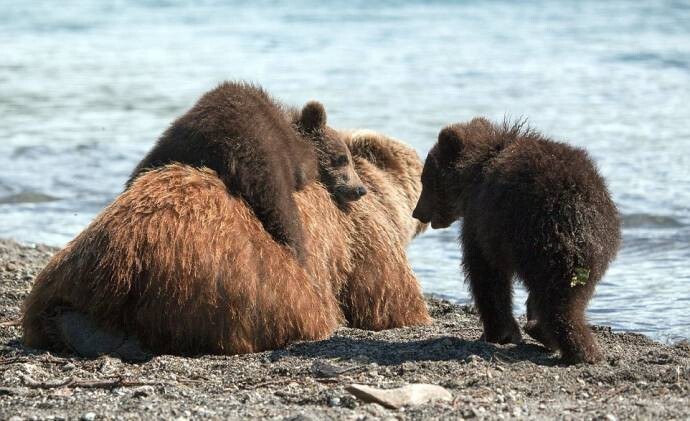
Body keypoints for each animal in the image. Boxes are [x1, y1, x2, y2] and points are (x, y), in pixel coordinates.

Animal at [127, 82, 366, 262]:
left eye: (348, 158)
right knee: (282, 207)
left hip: (171, 145)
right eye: (342, 159)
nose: (360, 189)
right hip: (264, 155)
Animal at [412, 116, 620, 362]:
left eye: (425, 179)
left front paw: (498, 333)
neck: (475, 171)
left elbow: (485, 271)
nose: (416, 213)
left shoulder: (480, 219)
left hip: (530, 232)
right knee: (569, 293)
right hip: (594, 244)